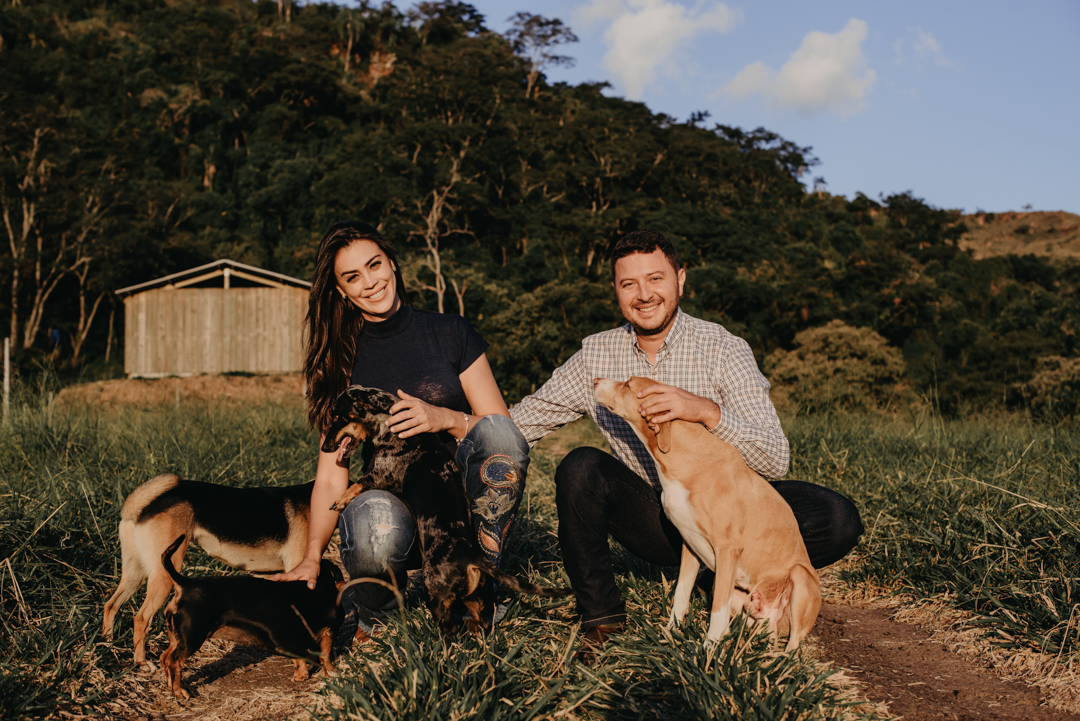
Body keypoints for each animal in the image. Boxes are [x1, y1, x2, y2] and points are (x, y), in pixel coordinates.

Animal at [101, 474, 314, 666]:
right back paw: (142, 663)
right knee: (141, 618)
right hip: (163, 576)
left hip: (135, 573)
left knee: (111, 605)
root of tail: (140, 506)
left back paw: (108, 646)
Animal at [158, 534, 344, 699]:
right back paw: (180, 692)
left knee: (164, 658)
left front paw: (301, 676)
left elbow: (299, 661)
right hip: (192, 639)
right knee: (174, 662)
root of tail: (184, 584)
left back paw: (170, 687)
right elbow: (325, 656)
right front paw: (333, 673)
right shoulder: (329, 632)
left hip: (177, 638)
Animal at [321, 385, 570, 633]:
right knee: (482, 622)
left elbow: (357, 484)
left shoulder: (382, 474)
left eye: (337, 418)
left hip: (437, 596)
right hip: (475, 598)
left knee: (450, 628)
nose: (324, 448)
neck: (391, 423)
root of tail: (472, 555)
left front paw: (338, 501)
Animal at [593, 377, 820, 650]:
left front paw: (709, 649)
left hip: (799, 577)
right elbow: (681, 595)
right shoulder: (689, 545)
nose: (595, 380)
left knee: (793, 643)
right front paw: (671, 633)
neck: (685, 459)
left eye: (628, 384)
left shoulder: (727, 549)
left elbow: (717, 610)